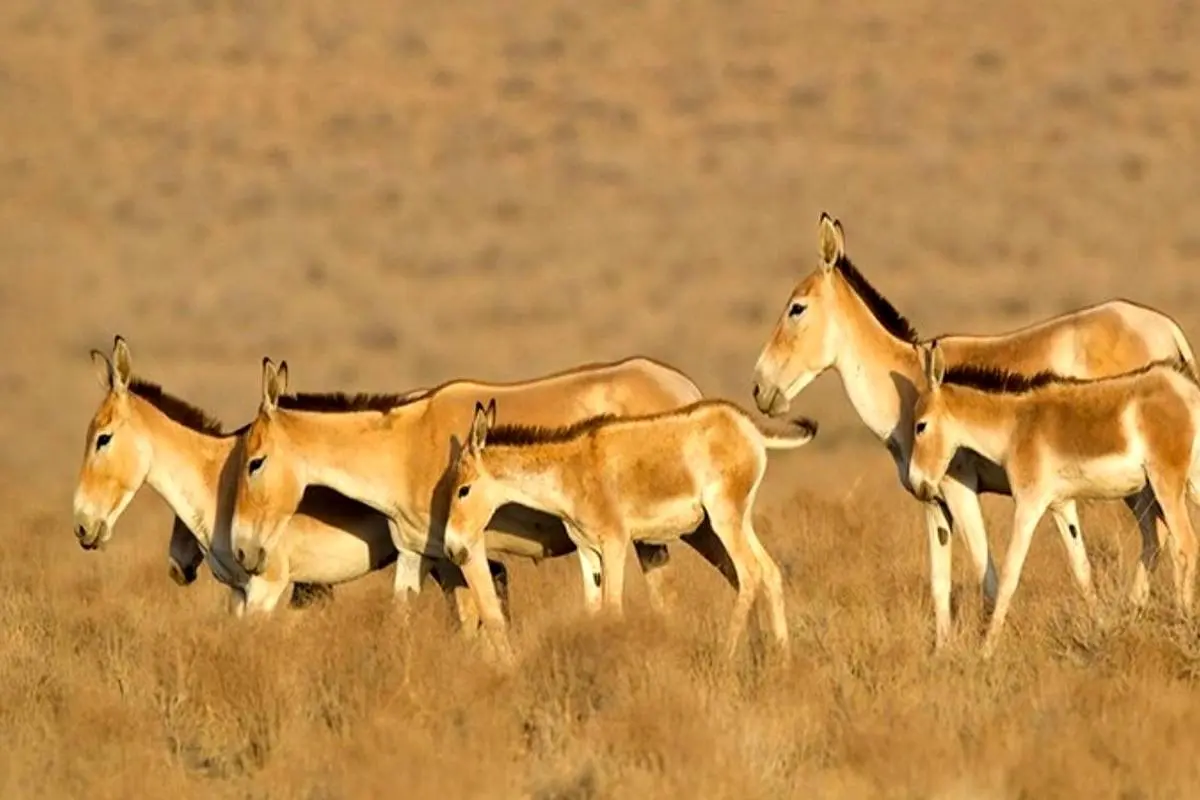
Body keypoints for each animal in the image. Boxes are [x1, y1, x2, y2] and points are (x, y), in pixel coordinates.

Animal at [229, 352, 705, 647]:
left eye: (254, 462)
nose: (242, 551)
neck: (405, 449)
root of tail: (687, 387)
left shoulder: (468, 547)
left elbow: (491, 618)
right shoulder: (419, 551)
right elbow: (404, 617)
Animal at [446, 398, 820, 657]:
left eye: (463, 490)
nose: (452, 548)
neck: (569, 473)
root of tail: (748, 426)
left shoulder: (614, 542)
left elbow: (613, 608)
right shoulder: (587, 550)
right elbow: (594, 609)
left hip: (723, 516)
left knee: (749, 573)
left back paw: (726, 657)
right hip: (741, 517)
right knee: (770, 572)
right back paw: (783, 660)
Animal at [907, 338, 1200, 657]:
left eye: (920, 426)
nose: (916, 485)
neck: (1015, 427)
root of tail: (1185, 390)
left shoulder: (1028, 503)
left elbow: (1009, 573)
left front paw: (986, 650)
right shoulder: (1061, 505)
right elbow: (1081, 567)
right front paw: (1100, 629)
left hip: (1166, 481)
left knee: (1185, 546)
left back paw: (1183, 625)